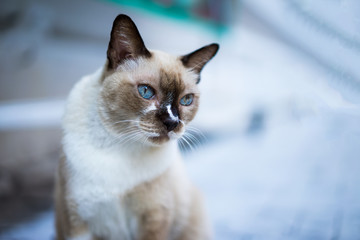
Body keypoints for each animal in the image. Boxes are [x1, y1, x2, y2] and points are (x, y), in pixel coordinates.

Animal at [54, 13, 218, 240]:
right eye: (146, 92)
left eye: (186, 100)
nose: (172, 122)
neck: (119, 144)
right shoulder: (77, 222)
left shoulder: (152, 219)